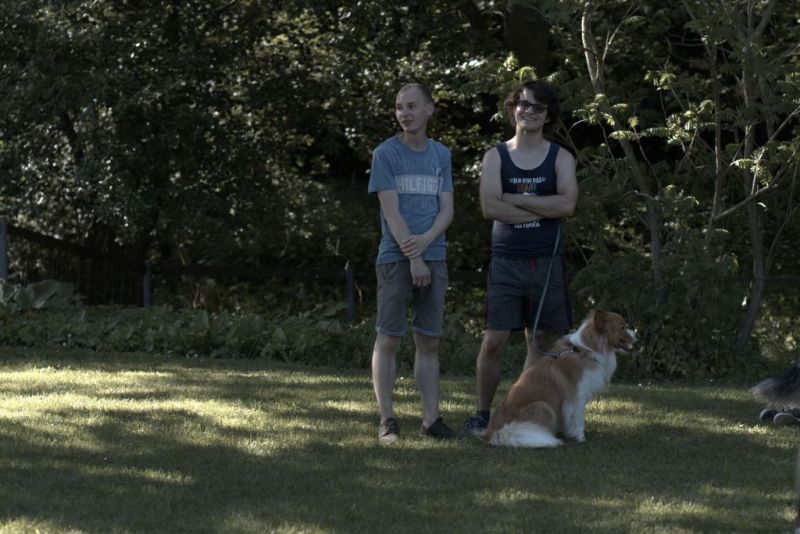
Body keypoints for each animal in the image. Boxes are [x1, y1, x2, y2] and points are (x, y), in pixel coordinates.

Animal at [482, 309, 637, 448]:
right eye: (622, 327)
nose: (636, 334)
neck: (584, 351)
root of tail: (494, 432)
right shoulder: (576, 398)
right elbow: (577, 420)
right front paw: (581, 438)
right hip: (543, 407)